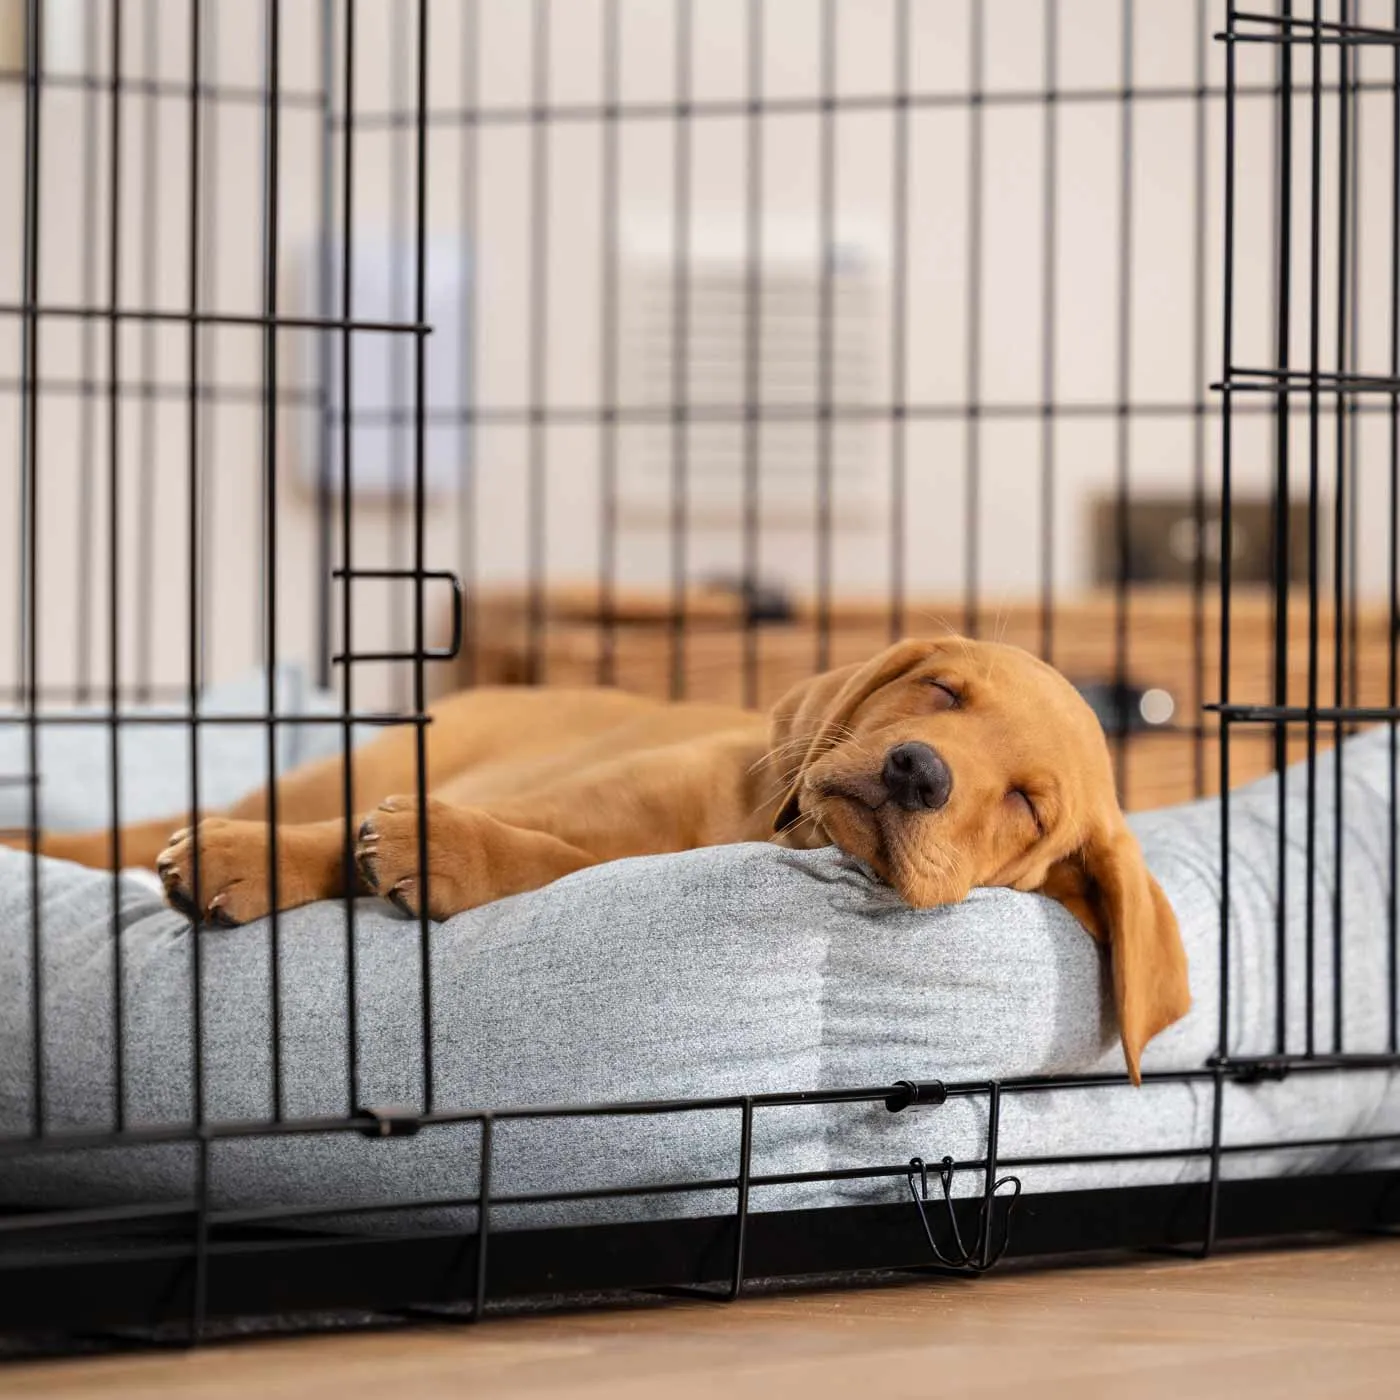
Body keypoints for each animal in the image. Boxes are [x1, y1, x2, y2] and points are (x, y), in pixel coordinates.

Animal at [10, 641, 1192, 1075]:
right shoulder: (577, 797)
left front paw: (434, 850)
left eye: (1027, 804)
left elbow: (532, 862)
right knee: (146, 825)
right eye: (942, 690)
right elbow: (424, 834)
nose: (914, 771)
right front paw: (258, 860)